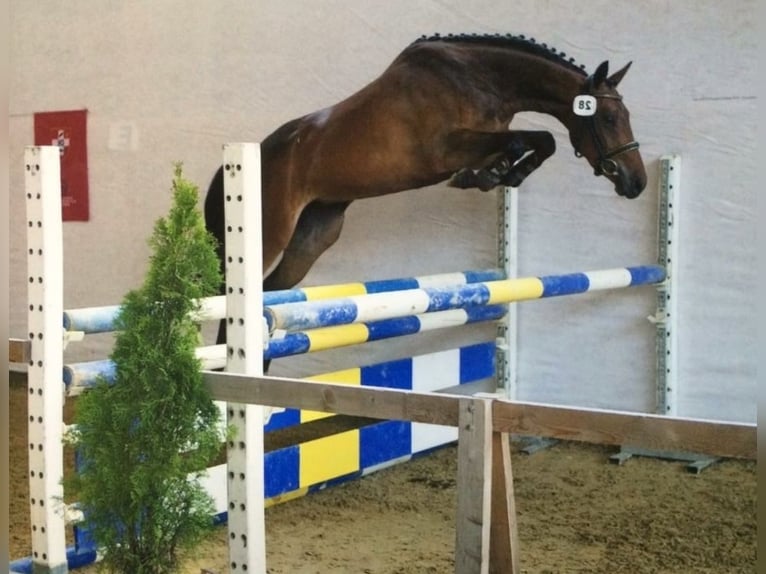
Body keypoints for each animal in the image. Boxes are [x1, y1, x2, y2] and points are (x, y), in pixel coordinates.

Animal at [204, 33, 646, 347]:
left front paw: (497, 175)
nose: (636, 182)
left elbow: (535, 143)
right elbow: (533, 138)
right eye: (609, 118)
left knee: (271, 295)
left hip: (314, 236)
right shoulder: (446, 149)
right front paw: (485, 175)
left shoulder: (486, 138)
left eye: (625, 115)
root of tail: (235, 165)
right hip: (269, 232)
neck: (479, 79)